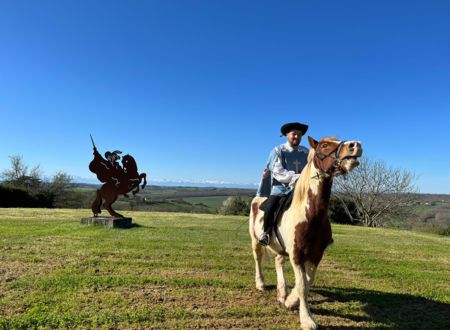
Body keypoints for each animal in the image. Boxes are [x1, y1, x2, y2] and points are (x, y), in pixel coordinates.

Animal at [250, 135, 362, 328]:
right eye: (324, 145)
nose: (355, 145)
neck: (309, 215)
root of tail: (258, 199)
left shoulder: (316, 255)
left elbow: (308, 281)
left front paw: (290, 300)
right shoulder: (297, 255)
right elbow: (303, 285)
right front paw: (307, 319)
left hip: (281, 248)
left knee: (278, 261)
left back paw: (282, 292)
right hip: (256, 241)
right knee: (258, 260)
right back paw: (261, 284)